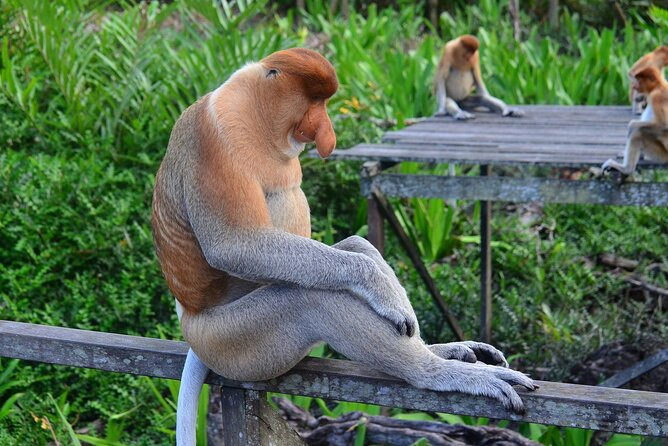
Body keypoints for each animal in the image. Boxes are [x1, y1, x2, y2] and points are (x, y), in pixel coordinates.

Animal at [151, 48, 535, 445]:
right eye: (313, 102)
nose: (326, 130)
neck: (253, 111)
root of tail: (190, 320)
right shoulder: (212, 137)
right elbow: (234, 245)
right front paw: (383, 289)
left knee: (352, 246)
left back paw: (443, 350)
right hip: (233, 342)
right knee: (309, 298)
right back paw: (436, 371)